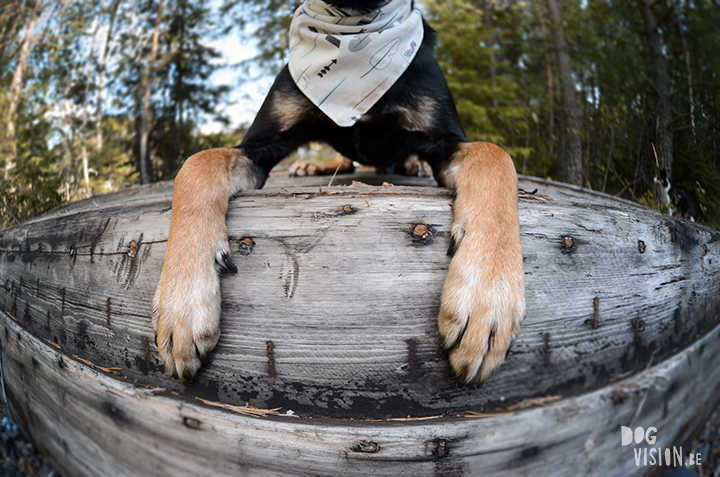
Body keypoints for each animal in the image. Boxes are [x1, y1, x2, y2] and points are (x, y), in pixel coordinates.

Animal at [152, 0, 524, 384]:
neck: (354, 32)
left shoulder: (445, 139)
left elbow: (495, 156)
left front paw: (488, 296)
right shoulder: (259, 145)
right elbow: (195, 164)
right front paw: (183, 301)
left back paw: (412, 165)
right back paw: (313, 165)